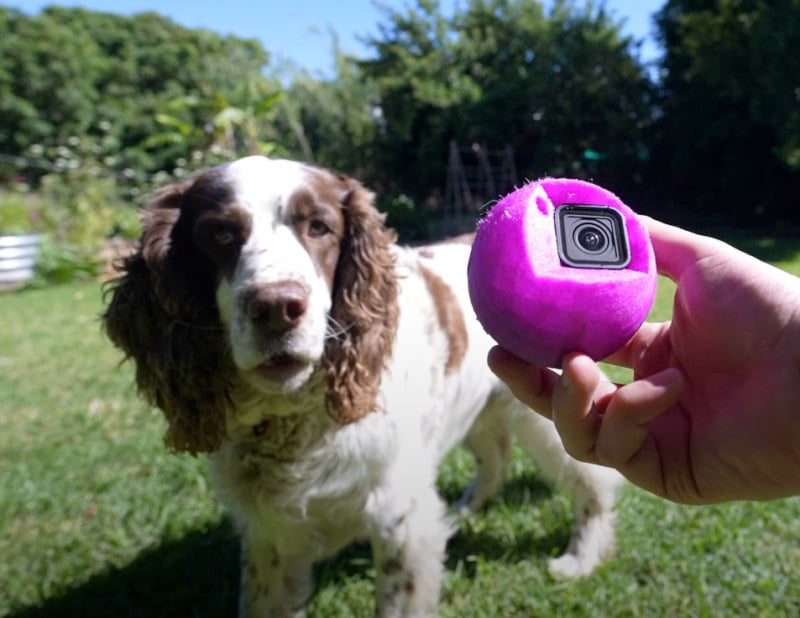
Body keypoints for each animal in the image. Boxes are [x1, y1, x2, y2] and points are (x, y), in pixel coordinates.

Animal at [101, 156, 624, 612]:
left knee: (593, 483)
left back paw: (581, 556)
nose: (276, 307)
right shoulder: (270, 538)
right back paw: (465, 510)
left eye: (319, 227)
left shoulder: (400, 522)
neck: (297, 421)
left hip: (546, 416)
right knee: (494, 454)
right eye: (220, 233)